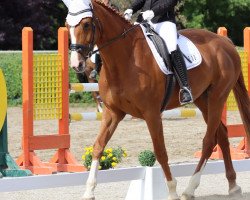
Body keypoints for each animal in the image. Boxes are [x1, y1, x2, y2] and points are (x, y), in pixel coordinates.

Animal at [63, 0, 250, 199]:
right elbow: (98, 146)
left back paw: (189, 189)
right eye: (67, 25)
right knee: (221, 134)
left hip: (217, 96)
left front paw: (172, 190)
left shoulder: (151, 113)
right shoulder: (112, 112)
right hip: (202, 99)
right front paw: (89, 191)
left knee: (209, 141)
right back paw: (233, 186)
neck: (126, 58)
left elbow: (160, 151)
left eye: (86, 24)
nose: (76, 64)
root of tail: (225, 42)